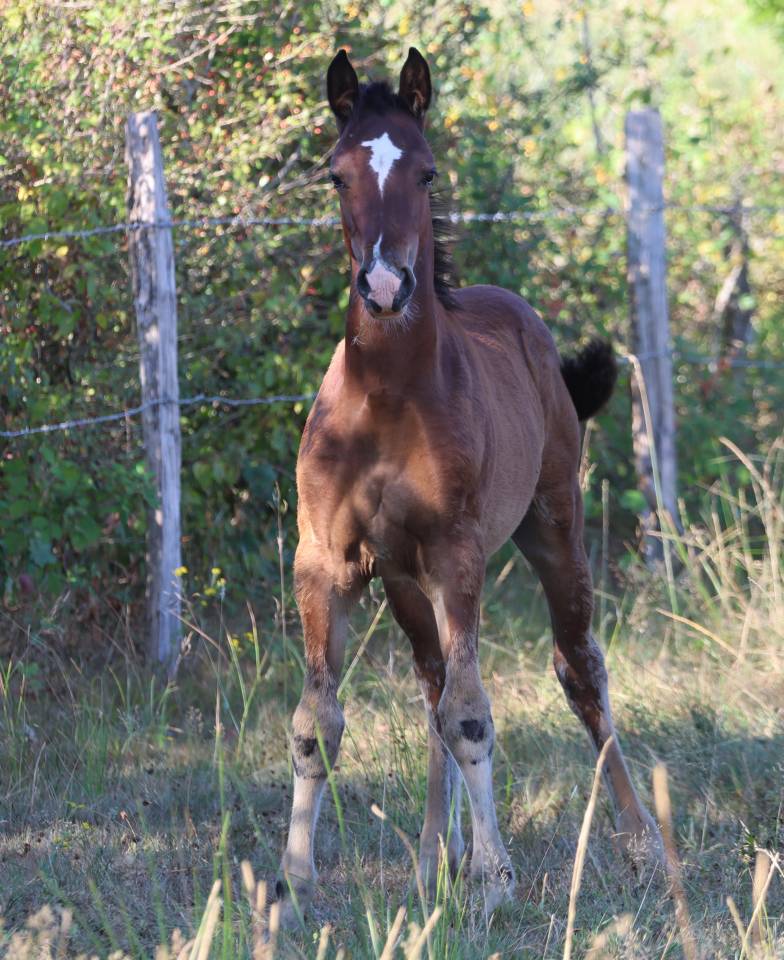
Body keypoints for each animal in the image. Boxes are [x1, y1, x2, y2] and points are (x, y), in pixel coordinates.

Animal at [275, 47, 662, 924]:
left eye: (425, 172)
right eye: (336, 174)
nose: (385, 288)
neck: (386, 398)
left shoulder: (459, 557)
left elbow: (474, 718)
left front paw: (494, 879)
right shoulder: (327, 564)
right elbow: (319, 721)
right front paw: (294, 883)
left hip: (553, 531)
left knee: (578, 669)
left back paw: (639, 844)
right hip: (405, 584)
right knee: (430, 691)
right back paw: (429, 863)